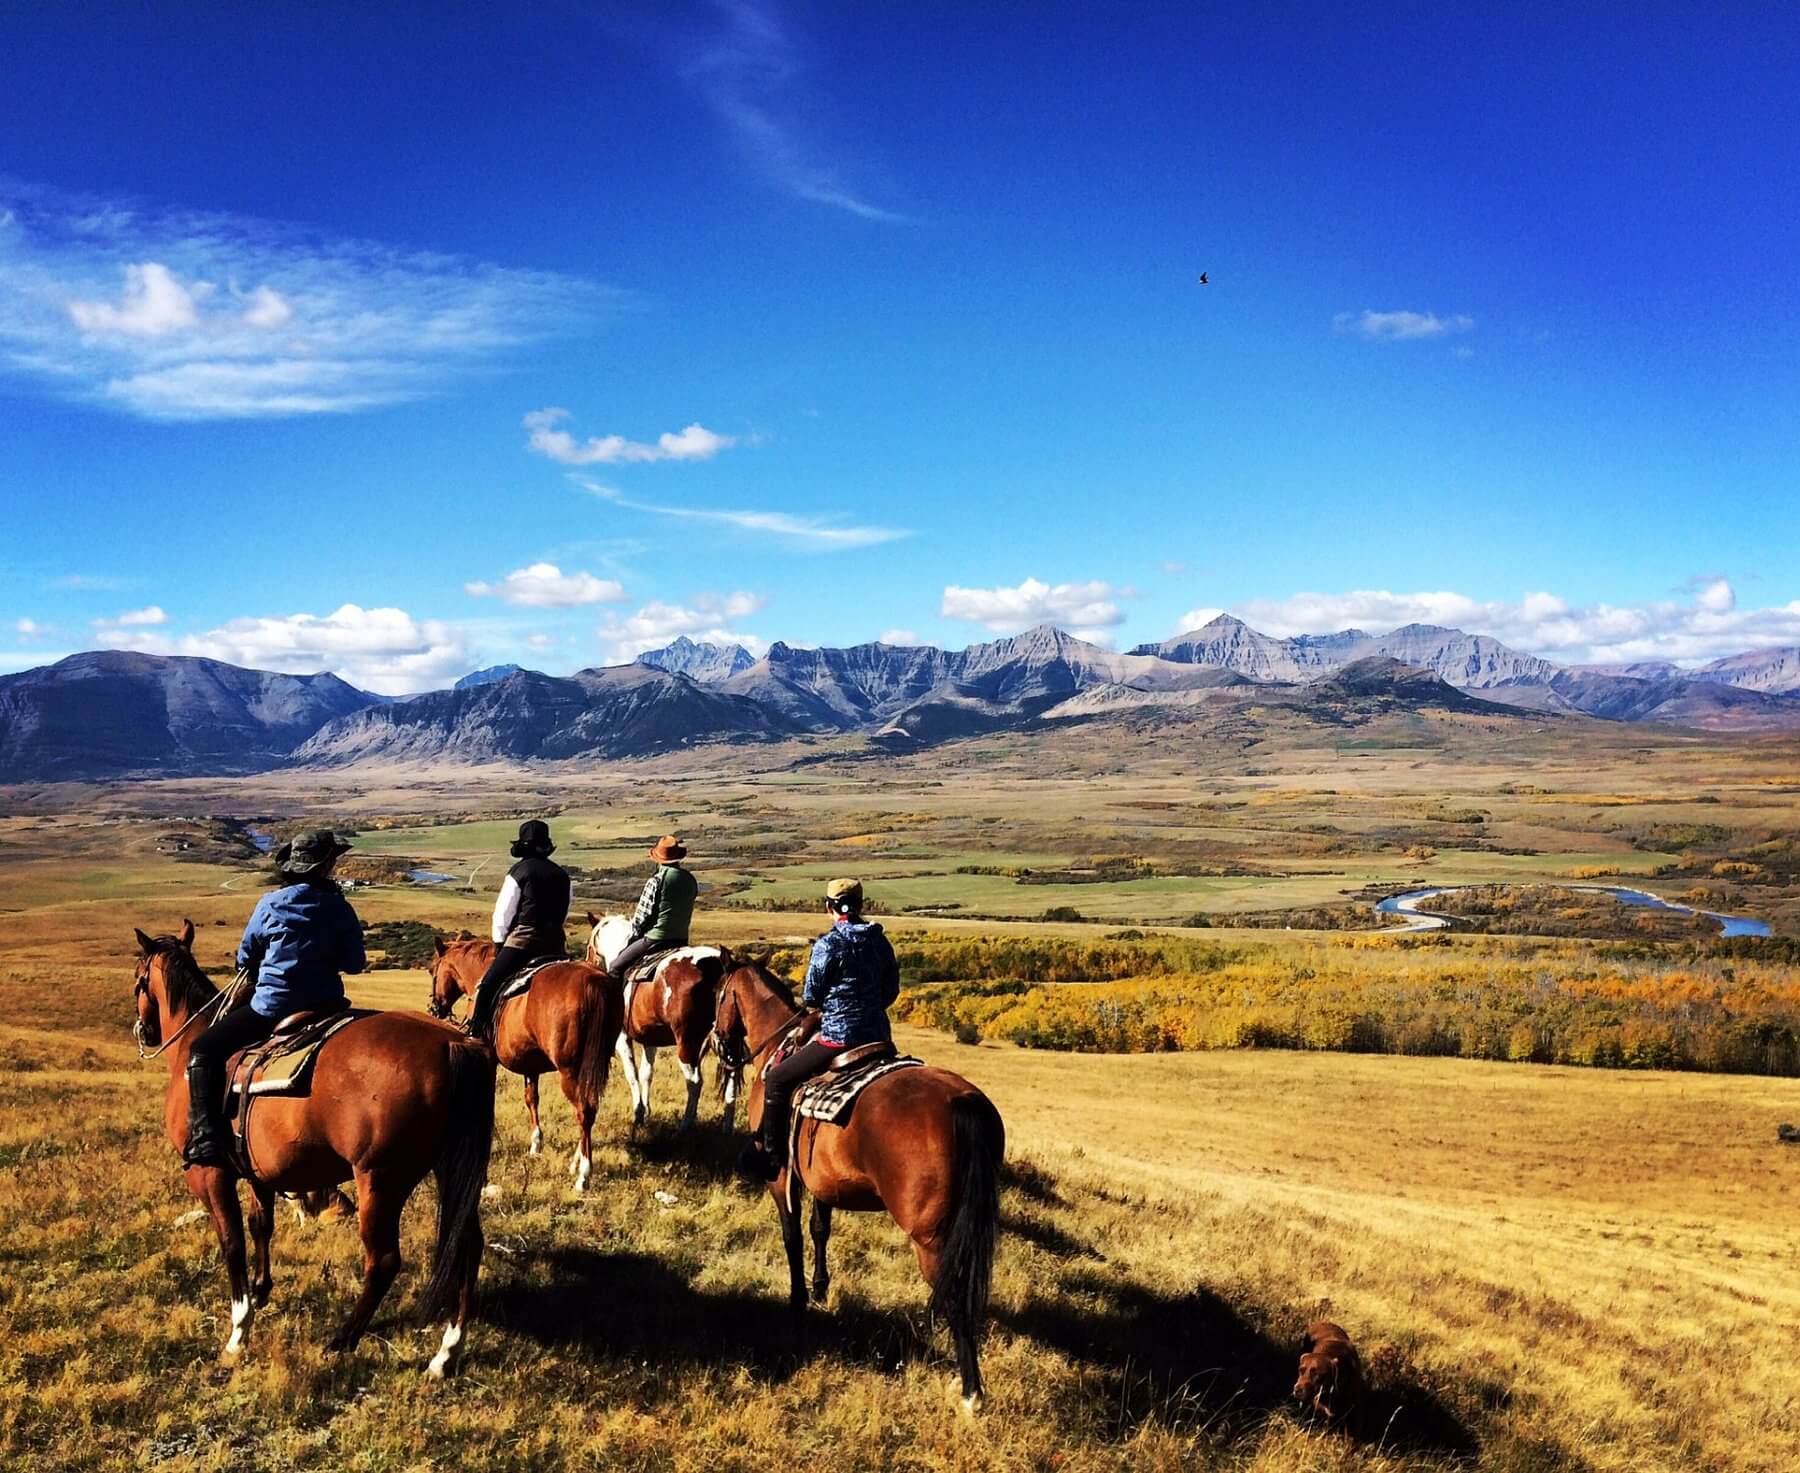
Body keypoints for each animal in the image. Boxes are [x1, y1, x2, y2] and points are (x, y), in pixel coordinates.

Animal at [127, 911, 496, 1368]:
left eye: (138, 979)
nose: (145, 1032)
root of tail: (454, 1041)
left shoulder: (209, 1175)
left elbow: (231, 1242)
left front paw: (239, 1328)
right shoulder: (259, 1174)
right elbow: (260, 1226)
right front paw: (261, 1290)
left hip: (380, 1180)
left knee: (384, 1260)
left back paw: (343, 1340)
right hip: (451, 1170)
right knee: (467, 1245)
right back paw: (447, 1352)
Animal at [423, 943, 626, 1195]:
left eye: (432, 970)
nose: (434, 1008)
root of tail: (593, 979)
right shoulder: (531, 1065)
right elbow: (532, 1099)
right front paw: (536, 1144)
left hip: (570, 1071)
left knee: (584, 1111)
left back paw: (583, 1174)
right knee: (591, 1108)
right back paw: (576, 1162)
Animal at [586, 907, 734, 1138]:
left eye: (589, 948)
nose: (587, 963)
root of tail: (716, 966)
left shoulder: (622, 1037)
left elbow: (631, 1073)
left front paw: (638, 1113)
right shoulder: (650, 1039)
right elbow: (647, 1073)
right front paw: (646, 1111)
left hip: (687, 1042)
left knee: (694, 1082)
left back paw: (685, 1126)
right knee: (732, 1080)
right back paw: (727, 1129)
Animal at [709, 957, 1008, 1404]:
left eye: (717, 995)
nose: (719, 1044)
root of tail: (963, 1101)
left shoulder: (782, 1178)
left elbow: (791, 1235)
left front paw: (797, 1299)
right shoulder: (822, 1181)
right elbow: (819, 1229)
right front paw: (819, 1288)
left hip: (930, 1237)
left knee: (957, 1297)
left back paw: (971, 1391)